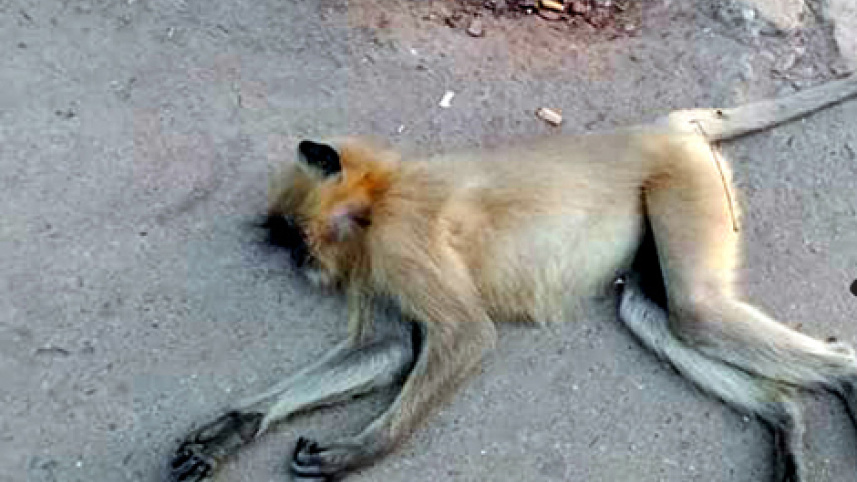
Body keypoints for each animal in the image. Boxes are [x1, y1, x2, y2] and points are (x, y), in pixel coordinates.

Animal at [168, 73, 857, 482]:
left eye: (292, 235)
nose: (296, 260)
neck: (380, 197)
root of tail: (665, 125)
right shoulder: (375, 260)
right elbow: (387, 350)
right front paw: (233, 430)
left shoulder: (397, 237)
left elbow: (467, 335)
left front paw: (356, 454)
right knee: (653, 311)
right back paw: (787, 418)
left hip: (683, 178)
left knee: (697, 309)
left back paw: (843, 378)